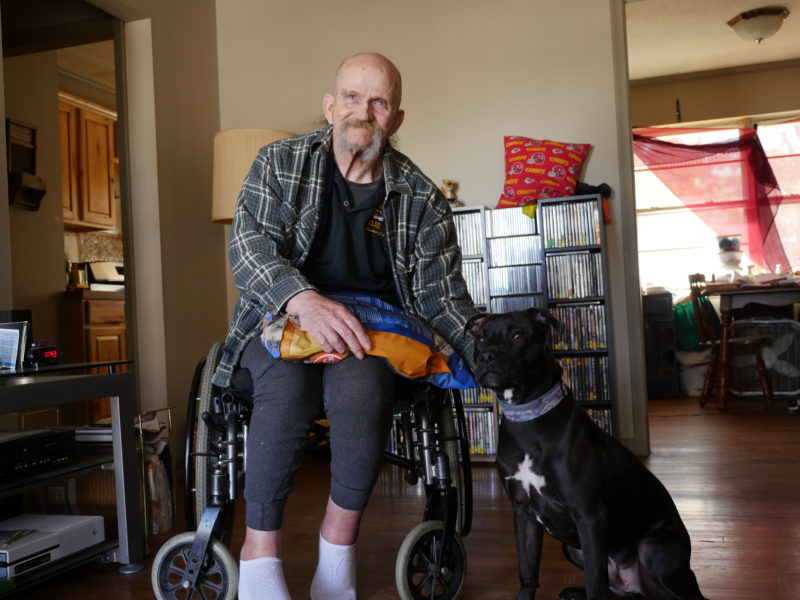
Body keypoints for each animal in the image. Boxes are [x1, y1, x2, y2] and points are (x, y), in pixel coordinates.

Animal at [468, 310, 708, 600]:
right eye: (480, 338)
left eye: (517, 335)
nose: (486, 356)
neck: (528, 416)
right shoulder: (523, 515)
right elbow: (527, 571)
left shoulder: (590, 517)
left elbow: (595, 584)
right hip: (574, 549)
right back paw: (573, 592)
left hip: (654, 551)